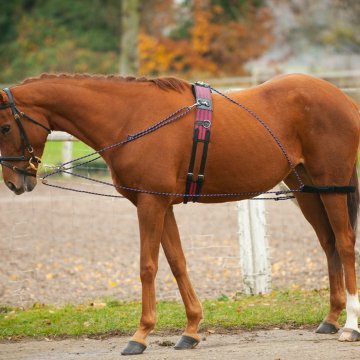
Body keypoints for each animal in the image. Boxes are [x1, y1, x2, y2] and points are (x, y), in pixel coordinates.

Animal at [0, 74, 360, 354]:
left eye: (4, 127)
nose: (13, 182)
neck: (131, 117)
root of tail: (344, 99)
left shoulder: (150, 204)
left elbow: (147, 266)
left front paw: (140, 335)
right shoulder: (162, 205)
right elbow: (177, 262)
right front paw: (191, 330)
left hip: (333, 186)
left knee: (344, 243)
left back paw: (350, 325)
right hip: (307, 190)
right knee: (329, 243)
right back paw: (331, 318)